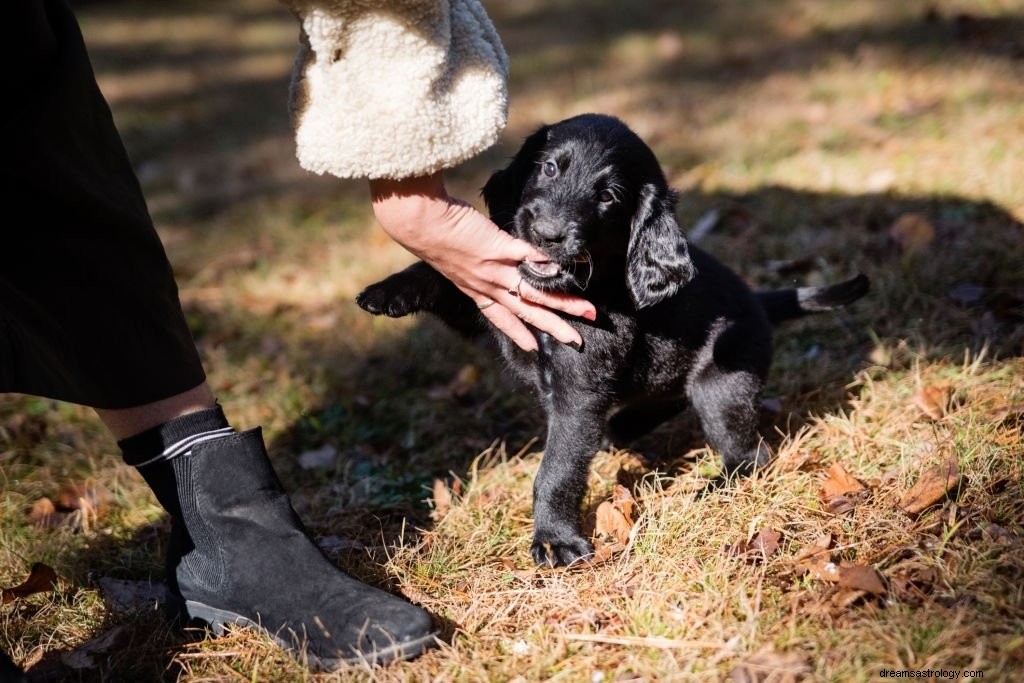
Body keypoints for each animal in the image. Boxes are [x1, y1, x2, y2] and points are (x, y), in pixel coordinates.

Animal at [356, 114, 868, 569]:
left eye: (608, 196)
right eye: (549, 168)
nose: (547, 235)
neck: (581, 286)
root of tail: (758, 300)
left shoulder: (578, 395)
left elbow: (556, 471)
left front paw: (555, 540)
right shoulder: (500, 306)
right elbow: (449, 275)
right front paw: (387, 291)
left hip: (724, 384)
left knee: (749, 454)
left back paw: (708, 486)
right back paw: (624, 428)